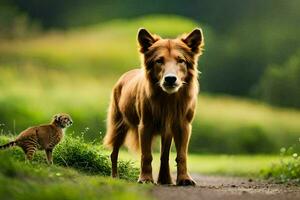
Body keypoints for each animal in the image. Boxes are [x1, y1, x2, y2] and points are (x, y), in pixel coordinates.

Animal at [103, 28, 204, 186]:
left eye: (181, 60)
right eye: (159, 61)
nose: (170, 79)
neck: (167, 99)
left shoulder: (183, 126)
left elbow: (180, 155)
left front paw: (183, 179)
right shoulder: (145, 125)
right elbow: (147, 156)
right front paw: (145, 179)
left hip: (166, 132)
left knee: (164, 155)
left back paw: (165, 179)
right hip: (119, 127)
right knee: (114, 154)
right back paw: (115, 177)